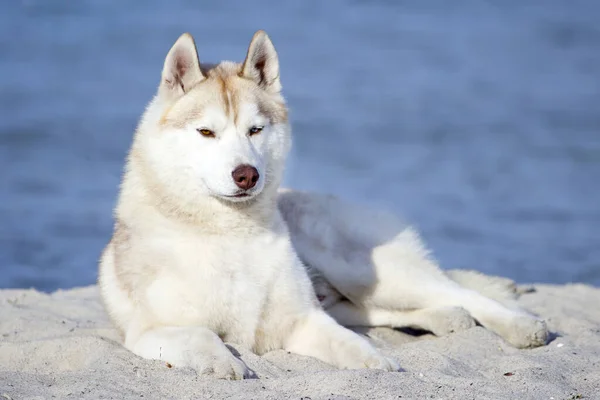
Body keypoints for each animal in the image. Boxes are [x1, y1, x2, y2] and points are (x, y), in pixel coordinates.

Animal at [98, 30, 548, 378]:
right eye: (206, 132)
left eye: (255, 130)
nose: (246, 175)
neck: (228, 235)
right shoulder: (153, 330)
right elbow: (203, 335)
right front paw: (224, 363)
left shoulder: (303, 320)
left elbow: (352, 345)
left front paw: (380, 365)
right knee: (385, 309)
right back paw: (447, 317)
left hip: (363, 270)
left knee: (455, 290)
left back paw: (520, 325)